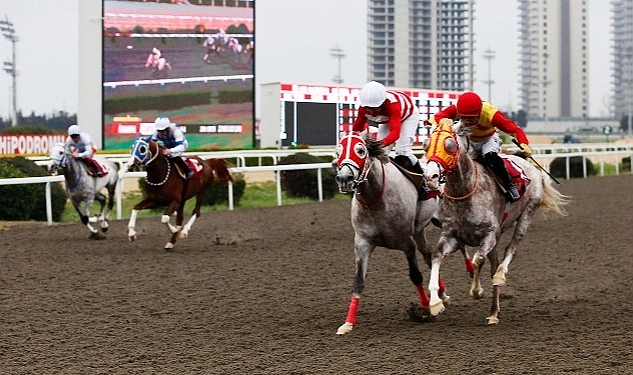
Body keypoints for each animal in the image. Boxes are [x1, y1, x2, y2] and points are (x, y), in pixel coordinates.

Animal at [424, 119, 568, 324]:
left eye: (449, 145)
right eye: (426, 145)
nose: (430, 177)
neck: (465, 192)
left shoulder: (490, 234)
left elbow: (478, 259)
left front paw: (477, 291)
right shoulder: (452, 236)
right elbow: (436, 256)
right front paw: (436, 302)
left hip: (527, 213)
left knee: (511, 250)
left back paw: (500, 276)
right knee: (494, 263)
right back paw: (493, 312)